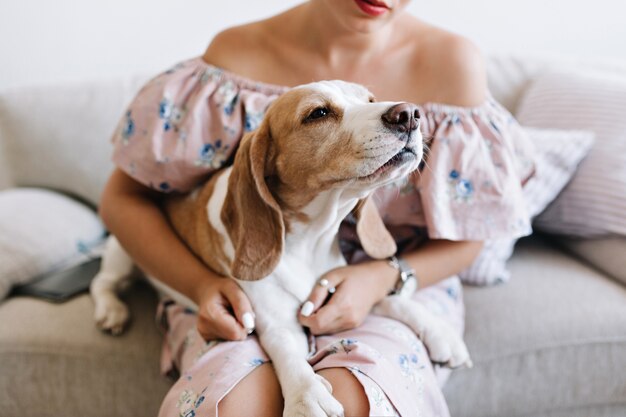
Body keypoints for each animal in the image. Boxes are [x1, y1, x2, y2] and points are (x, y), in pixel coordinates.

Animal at [91, 80, 468, 416]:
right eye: (318, 113)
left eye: (371, 99)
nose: (409, 114)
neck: (309, 242)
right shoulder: (274, 323)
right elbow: (289, 354)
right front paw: (308, 396)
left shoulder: (340, 291)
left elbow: (392, 300)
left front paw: (439, 332)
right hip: (122, 253)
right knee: (102, 283)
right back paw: (111, 310)